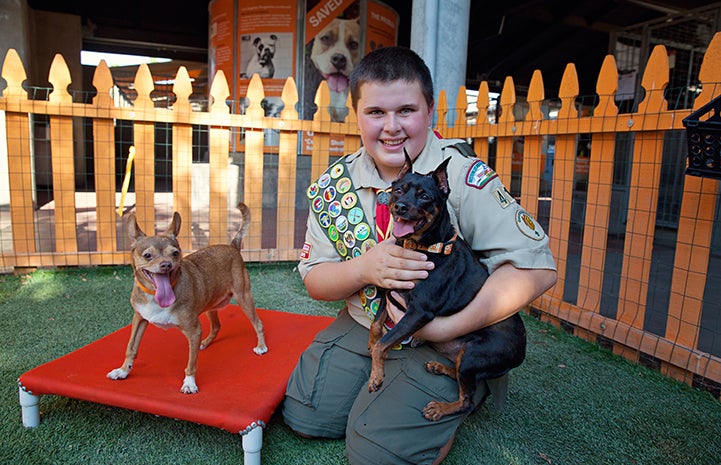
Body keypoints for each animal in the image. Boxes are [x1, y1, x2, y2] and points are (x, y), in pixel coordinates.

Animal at [109, 203, 270, 392]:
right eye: (147, 255)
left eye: (175, 253)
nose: (166, 265)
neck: (155, 296)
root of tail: (232, 246)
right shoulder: (139, 319)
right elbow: (131, 347)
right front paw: (123, 371)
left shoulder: (194, 331)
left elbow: (191, 363)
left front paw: (189, 383)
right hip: (210, 306)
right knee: (216, 326)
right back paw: (205, 343)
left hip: (244, 298)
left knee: (258, 324)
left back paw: (261, 346)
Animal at [368, 152, 524, 420]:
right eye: (398, 190)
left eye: (425, 197)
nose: (400, 207)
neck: (421, 247)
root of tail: (522, 350)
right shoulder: (389, 291)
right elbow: (376, 328)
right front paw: (373, 350)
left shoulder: (419, 312)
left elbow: (382, 343)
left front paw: (376, 376)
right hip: (466, 358)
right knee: (463, 377)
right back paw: (439, 367)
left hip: (474, 354)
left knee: (467, 402)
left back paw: (439, 408)